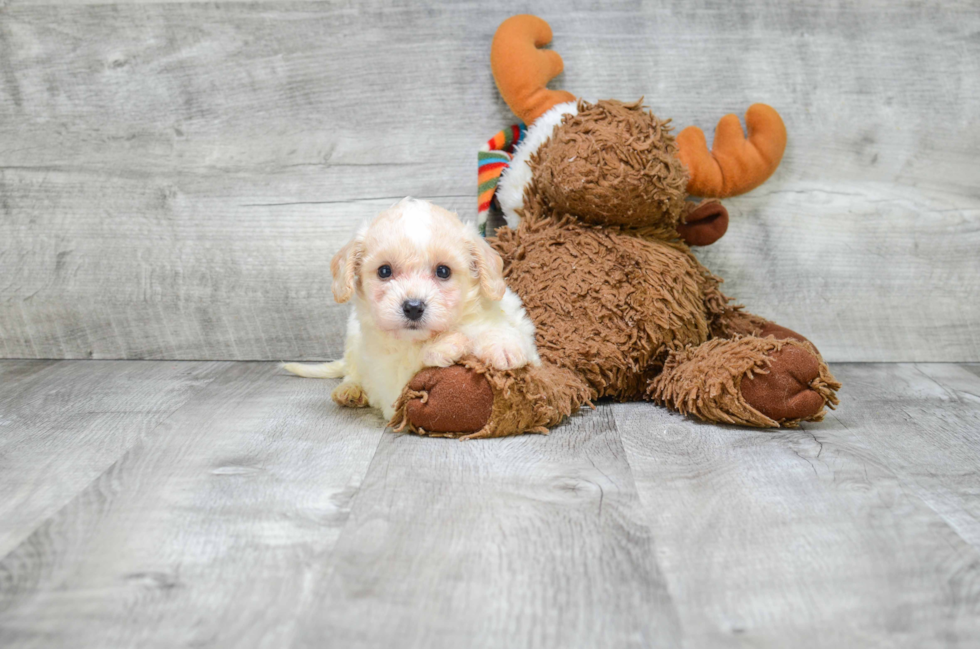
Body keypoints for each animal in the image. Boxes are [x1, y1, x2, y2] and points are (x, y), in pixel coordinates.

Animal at [288, 197, 540, 420]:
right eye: (384, 271)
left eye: (443, 271)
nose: (413, 307)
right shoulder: (389, 382)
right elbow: (409, 364)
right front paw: (444, 345)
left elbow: (498, 330)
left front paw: (502, 345)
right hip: (352, 340)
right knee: (352, 371)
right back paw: (350, 390)